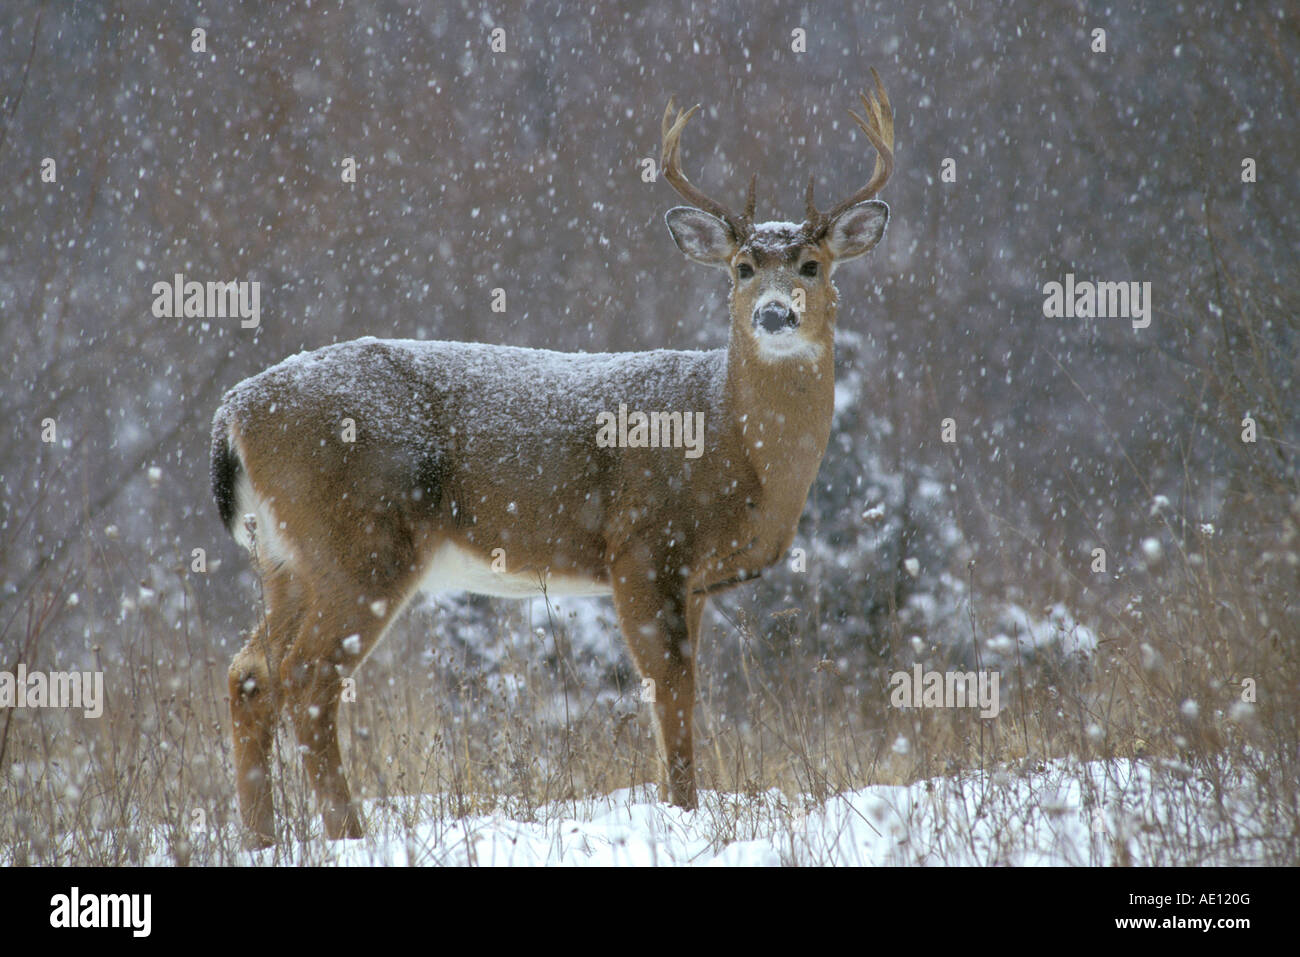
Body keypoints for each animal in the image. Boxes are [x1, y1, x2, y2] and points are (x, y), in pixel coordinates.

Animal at [211, 71, 894, 847]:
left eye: (813, 263)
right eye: (743, 266)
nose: (775, 312)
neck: (733, 442)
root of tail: (232, 413)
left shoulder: (692, 581)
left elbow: (684, 693)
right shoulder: (641, 545)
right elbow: (672, 694)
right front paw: (682, 813)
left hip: (285, 560)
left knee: (250, 672)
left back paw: (262, 838)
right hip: (360, 543)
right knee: (306, 677)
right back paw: (349, 833)